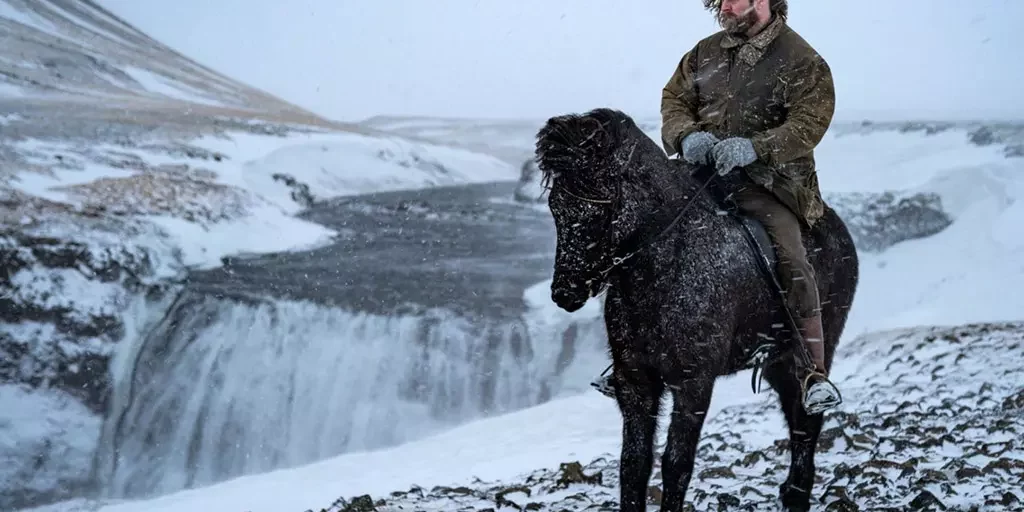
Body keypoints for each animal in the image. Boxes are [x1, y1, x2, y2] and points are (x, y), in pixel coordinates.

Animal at [532, 105, 860, 509]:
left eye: (599, 203)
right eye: (556, 206)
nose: (565, 291)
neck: (666, 269)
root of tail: (836, 228)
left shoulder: (694, 385)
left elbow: (677, 464)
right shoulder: (635, 383)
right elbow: (634, 463)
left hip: (811, 348)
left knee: (806, 418)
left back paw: (798, 492)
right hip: (775, 361)